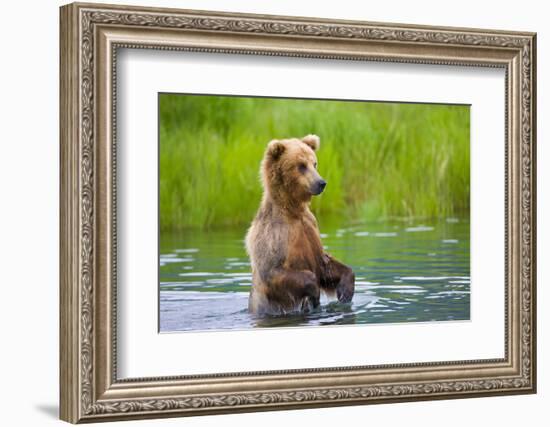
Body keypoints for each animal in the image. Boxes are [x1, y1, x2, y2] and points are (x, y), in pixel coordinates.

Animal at [247, 135, 358, 316]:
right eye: (301, 166)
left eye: (314, 163)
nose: (321, 182)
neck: (293, 210)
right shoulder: (274, 235)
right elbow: (273, 270)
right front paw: (315, 294)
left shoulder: (310, 228)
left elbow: (325, 265)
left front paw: (345, 291)